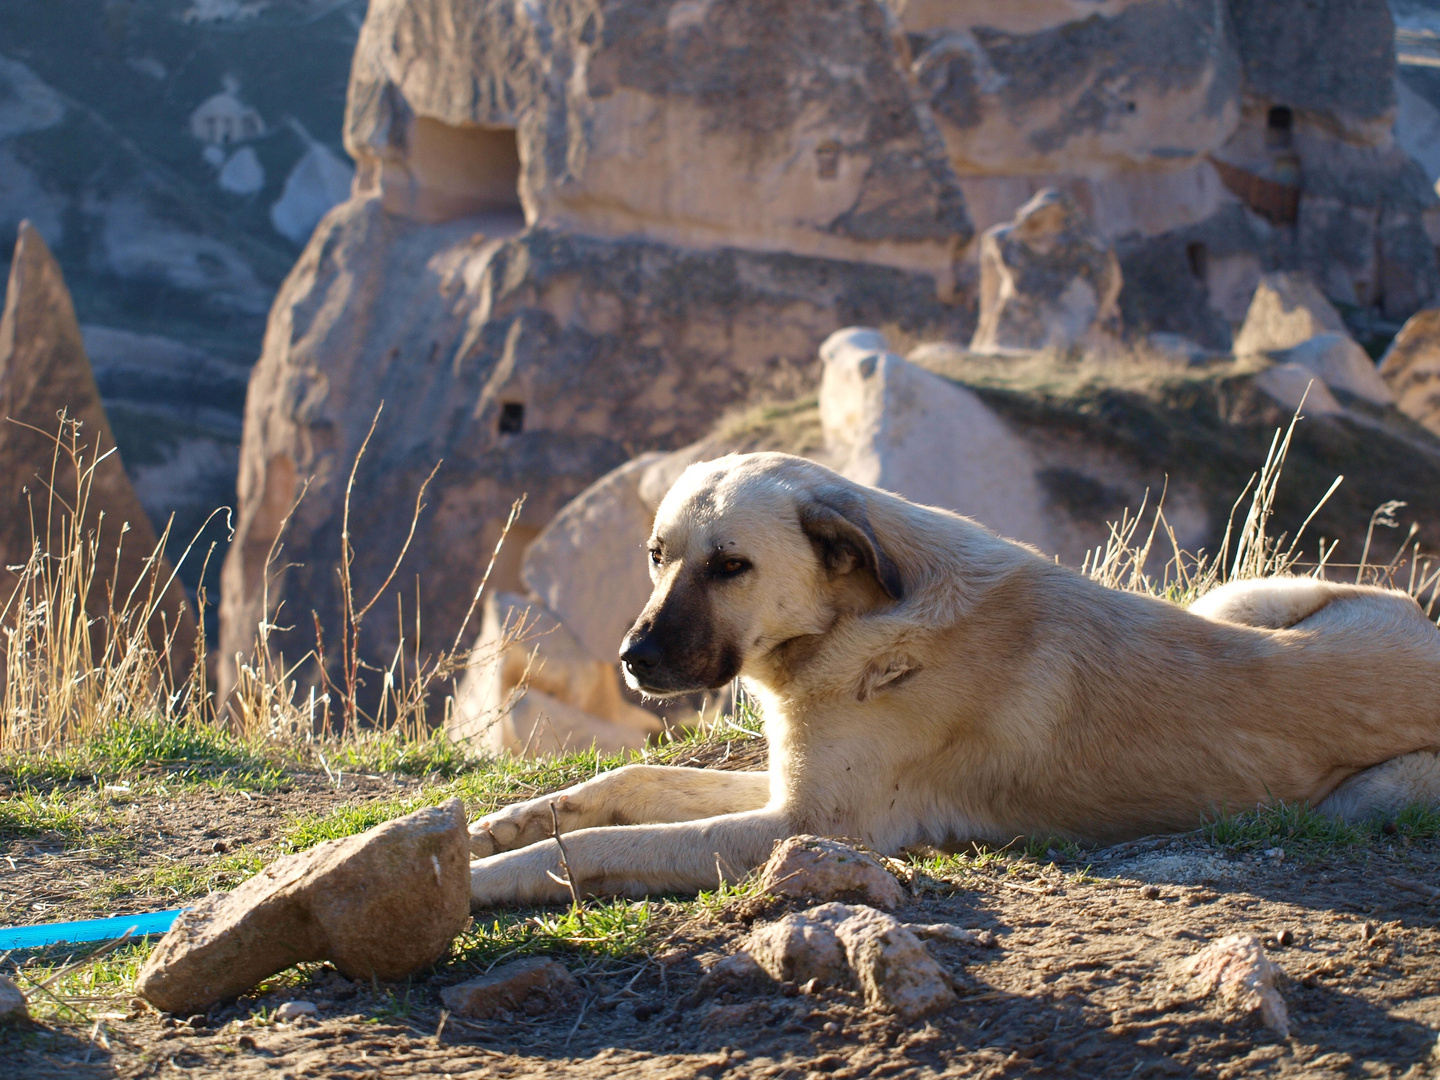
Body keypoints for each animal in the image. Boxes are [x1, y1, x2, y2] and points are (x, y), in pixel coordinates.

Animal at [466, 452, 1440, 910]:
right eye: (657, 556)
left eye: (732, 566)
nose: (631, 658)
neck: (863, 622)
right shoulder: (789, 789)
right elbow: (628, 781)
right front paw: (502, 825)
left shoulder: (806, 826)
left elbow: (605, 848)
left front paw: (484, 879)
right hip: (1244, 597)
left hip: (1366, 798)